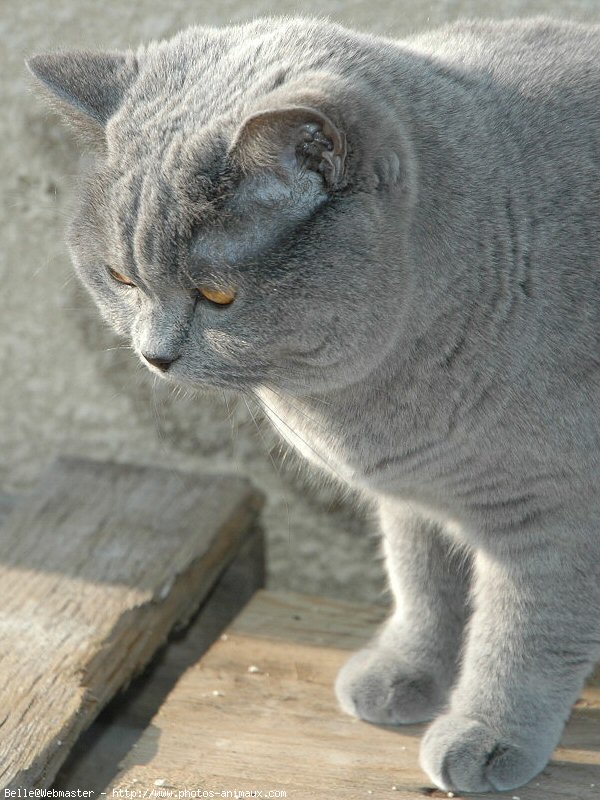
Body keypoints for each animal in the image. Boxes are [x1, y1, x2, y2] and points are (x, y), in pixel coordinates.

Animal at [28, 17, 600, 792]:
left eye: (217, 295)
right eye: (121, 278)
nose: (154, 355)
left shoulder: (557, 515)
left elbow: (524, 633)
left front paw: (487, 735)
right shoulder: (415, 504)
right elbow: (424, 589)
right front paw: (403, 674)